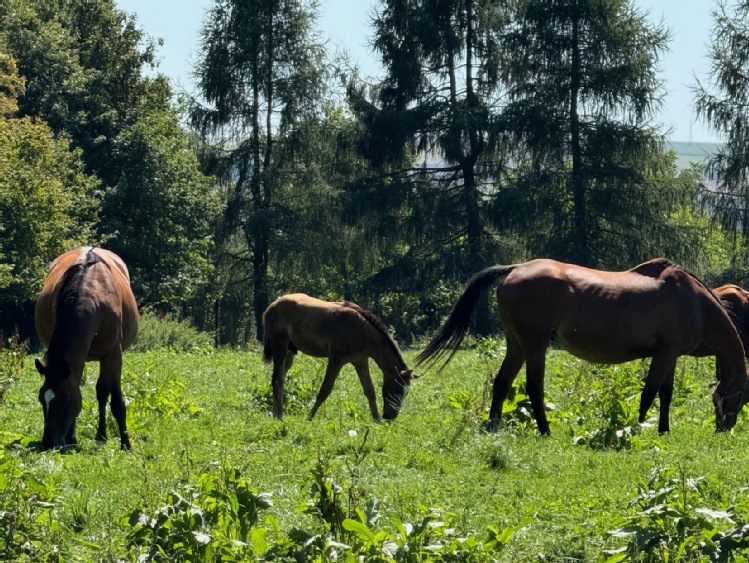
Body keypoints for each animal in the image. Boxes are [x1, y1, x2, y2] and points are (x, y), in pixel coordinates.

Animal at [34, 249, 139, 452]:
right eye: (42, 400)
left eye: (64, 400)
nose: (49, 443)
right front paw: (71, 438)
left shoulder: (113, 355)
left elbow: (116, 402)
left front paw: (126, 444)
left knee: (103, 392)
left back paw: (101, 435)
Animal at [262, 296, 414, 424]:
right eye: (398, 389)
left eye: (406, 392)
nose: (390, 416)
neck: (362, 330)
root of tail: (270, 307)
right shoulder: (336, 360)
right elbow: (325, 390)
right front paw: (309, 417)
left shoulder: (361, 361)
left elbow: (369, 390)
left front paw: (376, 420)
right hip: (279, 345)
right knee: (278, 379)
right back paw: (279, 415)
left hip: (290, 351)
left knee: (279, 376)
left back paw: (275, 413)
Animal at [414, 260, 748, 436]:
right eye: (742, 399)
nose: (724, 427)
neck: (695, 302)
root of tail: (514, 268)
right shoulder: (664, 355)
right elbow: (649, 394)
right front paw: (638, 428)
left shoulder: (670, 355)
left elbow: (666, 394)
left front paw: (663, 429)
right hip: (535, 345)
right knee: (534, 387)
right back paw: (544, 430)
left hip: (516, 345)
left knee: (502, 383)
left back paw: (494, 426)